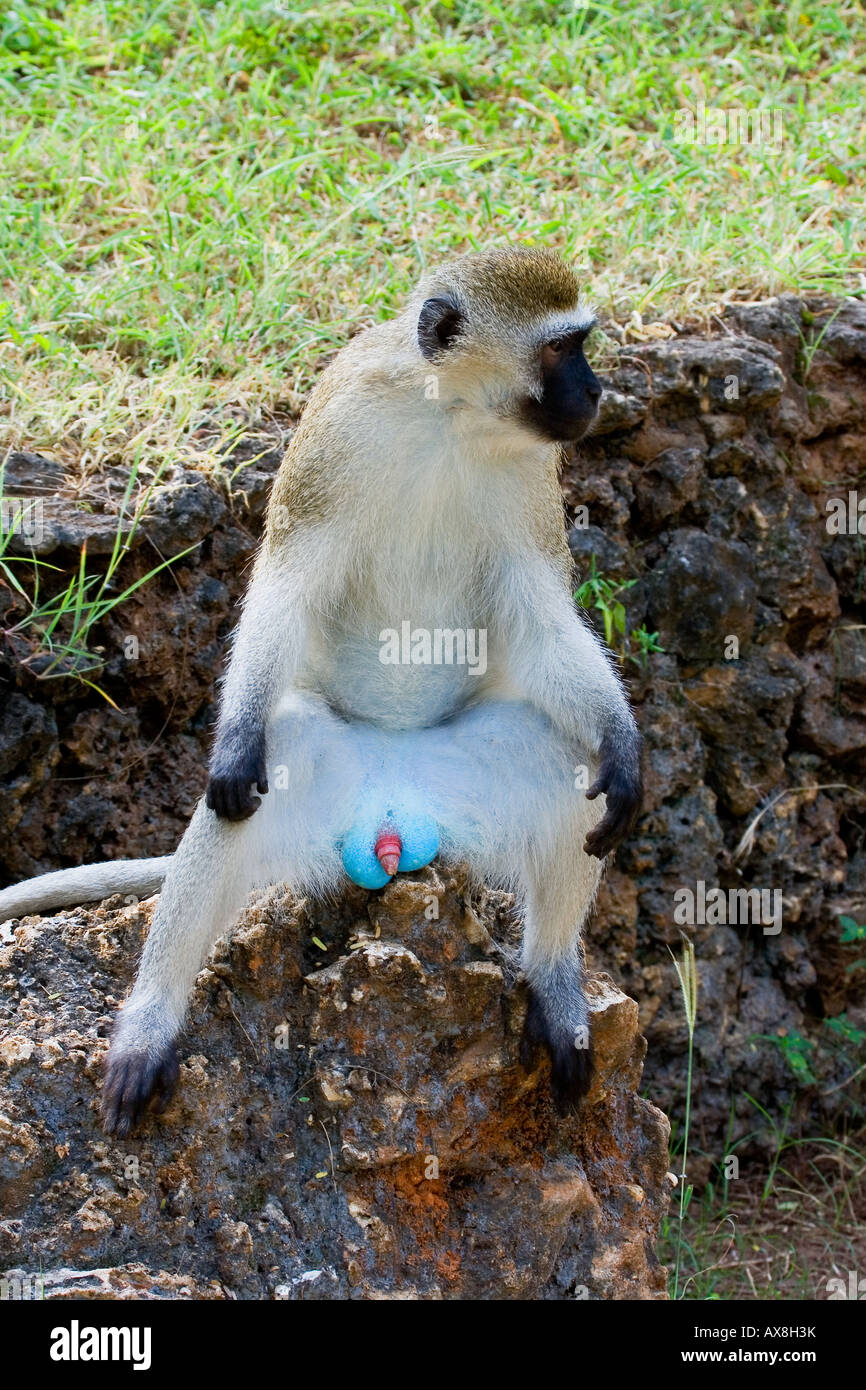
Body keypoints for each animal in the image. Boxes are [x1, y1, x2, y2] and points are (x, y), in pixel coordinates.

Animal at [0, 247, 642, 1136]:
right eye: (559, 350)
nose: (597, 391)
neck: (451, 416)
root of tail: (397, 806)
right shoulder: (336, 429)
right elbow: (288, 585)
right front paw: (236, 740)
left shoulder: (532, 474)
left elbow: (544, 626)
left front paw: (625, 745)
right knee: (265, 773)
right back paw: (150, 1023)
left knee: (574, 770)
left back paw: (553, 977)